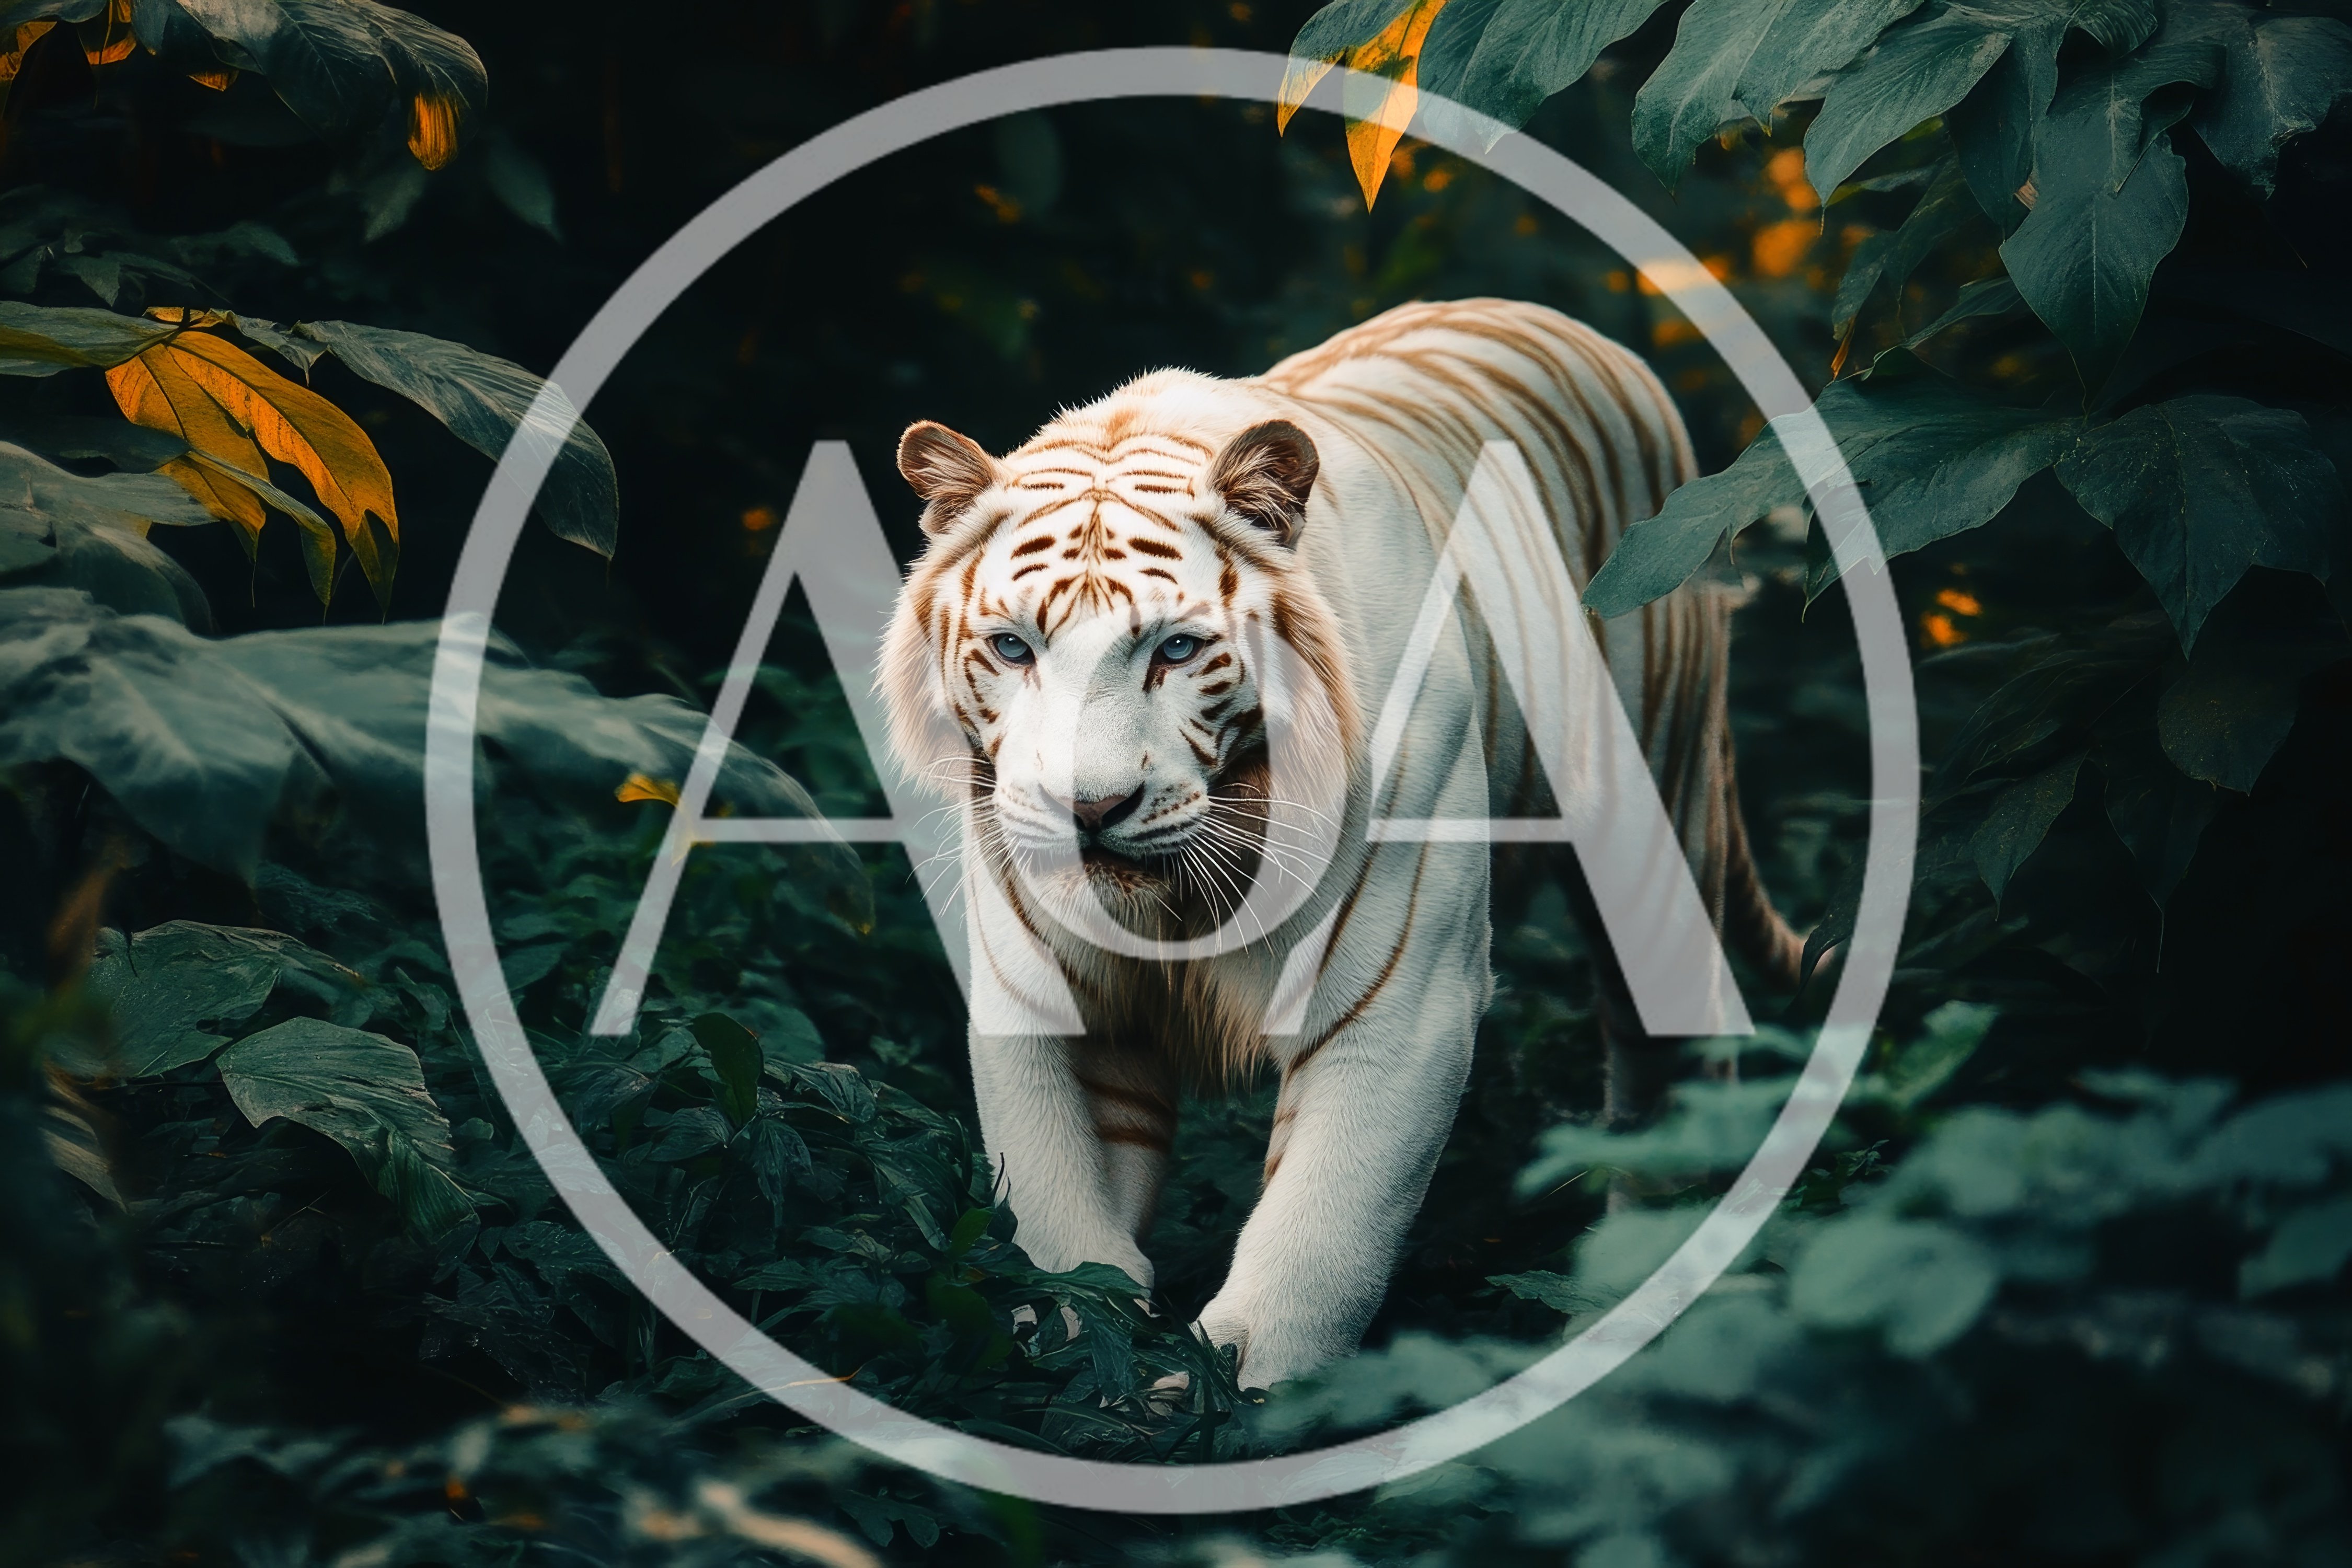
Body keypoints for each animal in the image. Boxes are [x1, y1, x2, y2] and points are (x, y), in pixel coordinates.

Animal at [878, 297, 1801, 1389]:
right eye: (1014, 648)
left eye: (1176, 649)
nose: (1088, 809)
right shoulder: (1050, 994)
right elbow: (1061, 1229)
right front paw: (1081, 1364)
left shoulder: (1397, 997)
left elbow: (1323, 1235)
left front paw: (1241, 1398)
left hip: (1652, 824)